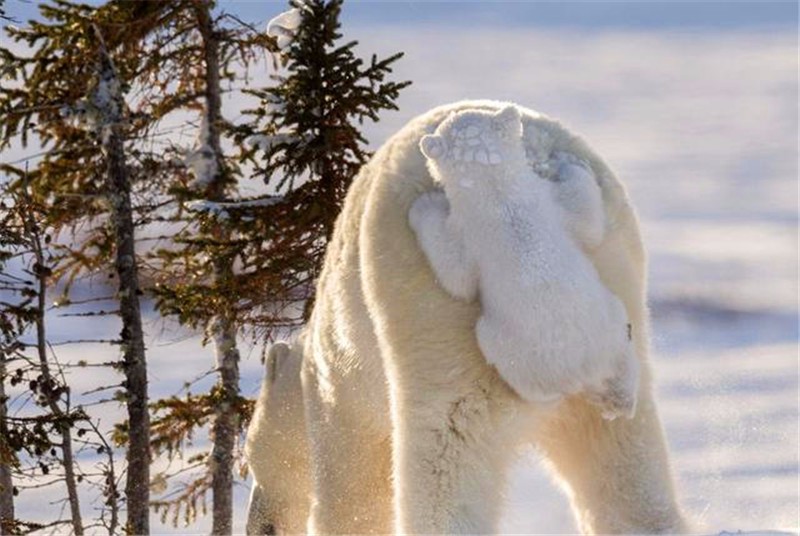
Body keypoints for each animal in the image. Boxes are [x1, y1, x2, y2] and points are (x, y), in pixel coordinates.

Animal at [412, 105, 636, 418]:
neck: (500, 196)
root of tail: (582, 371)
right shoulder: (545, 203)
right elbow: (586, 219)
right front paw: (568, 161)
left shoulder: (474, 229)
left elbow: (458, 277)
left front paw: (423, 204)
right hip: (602, 329)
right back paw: (621, 401)